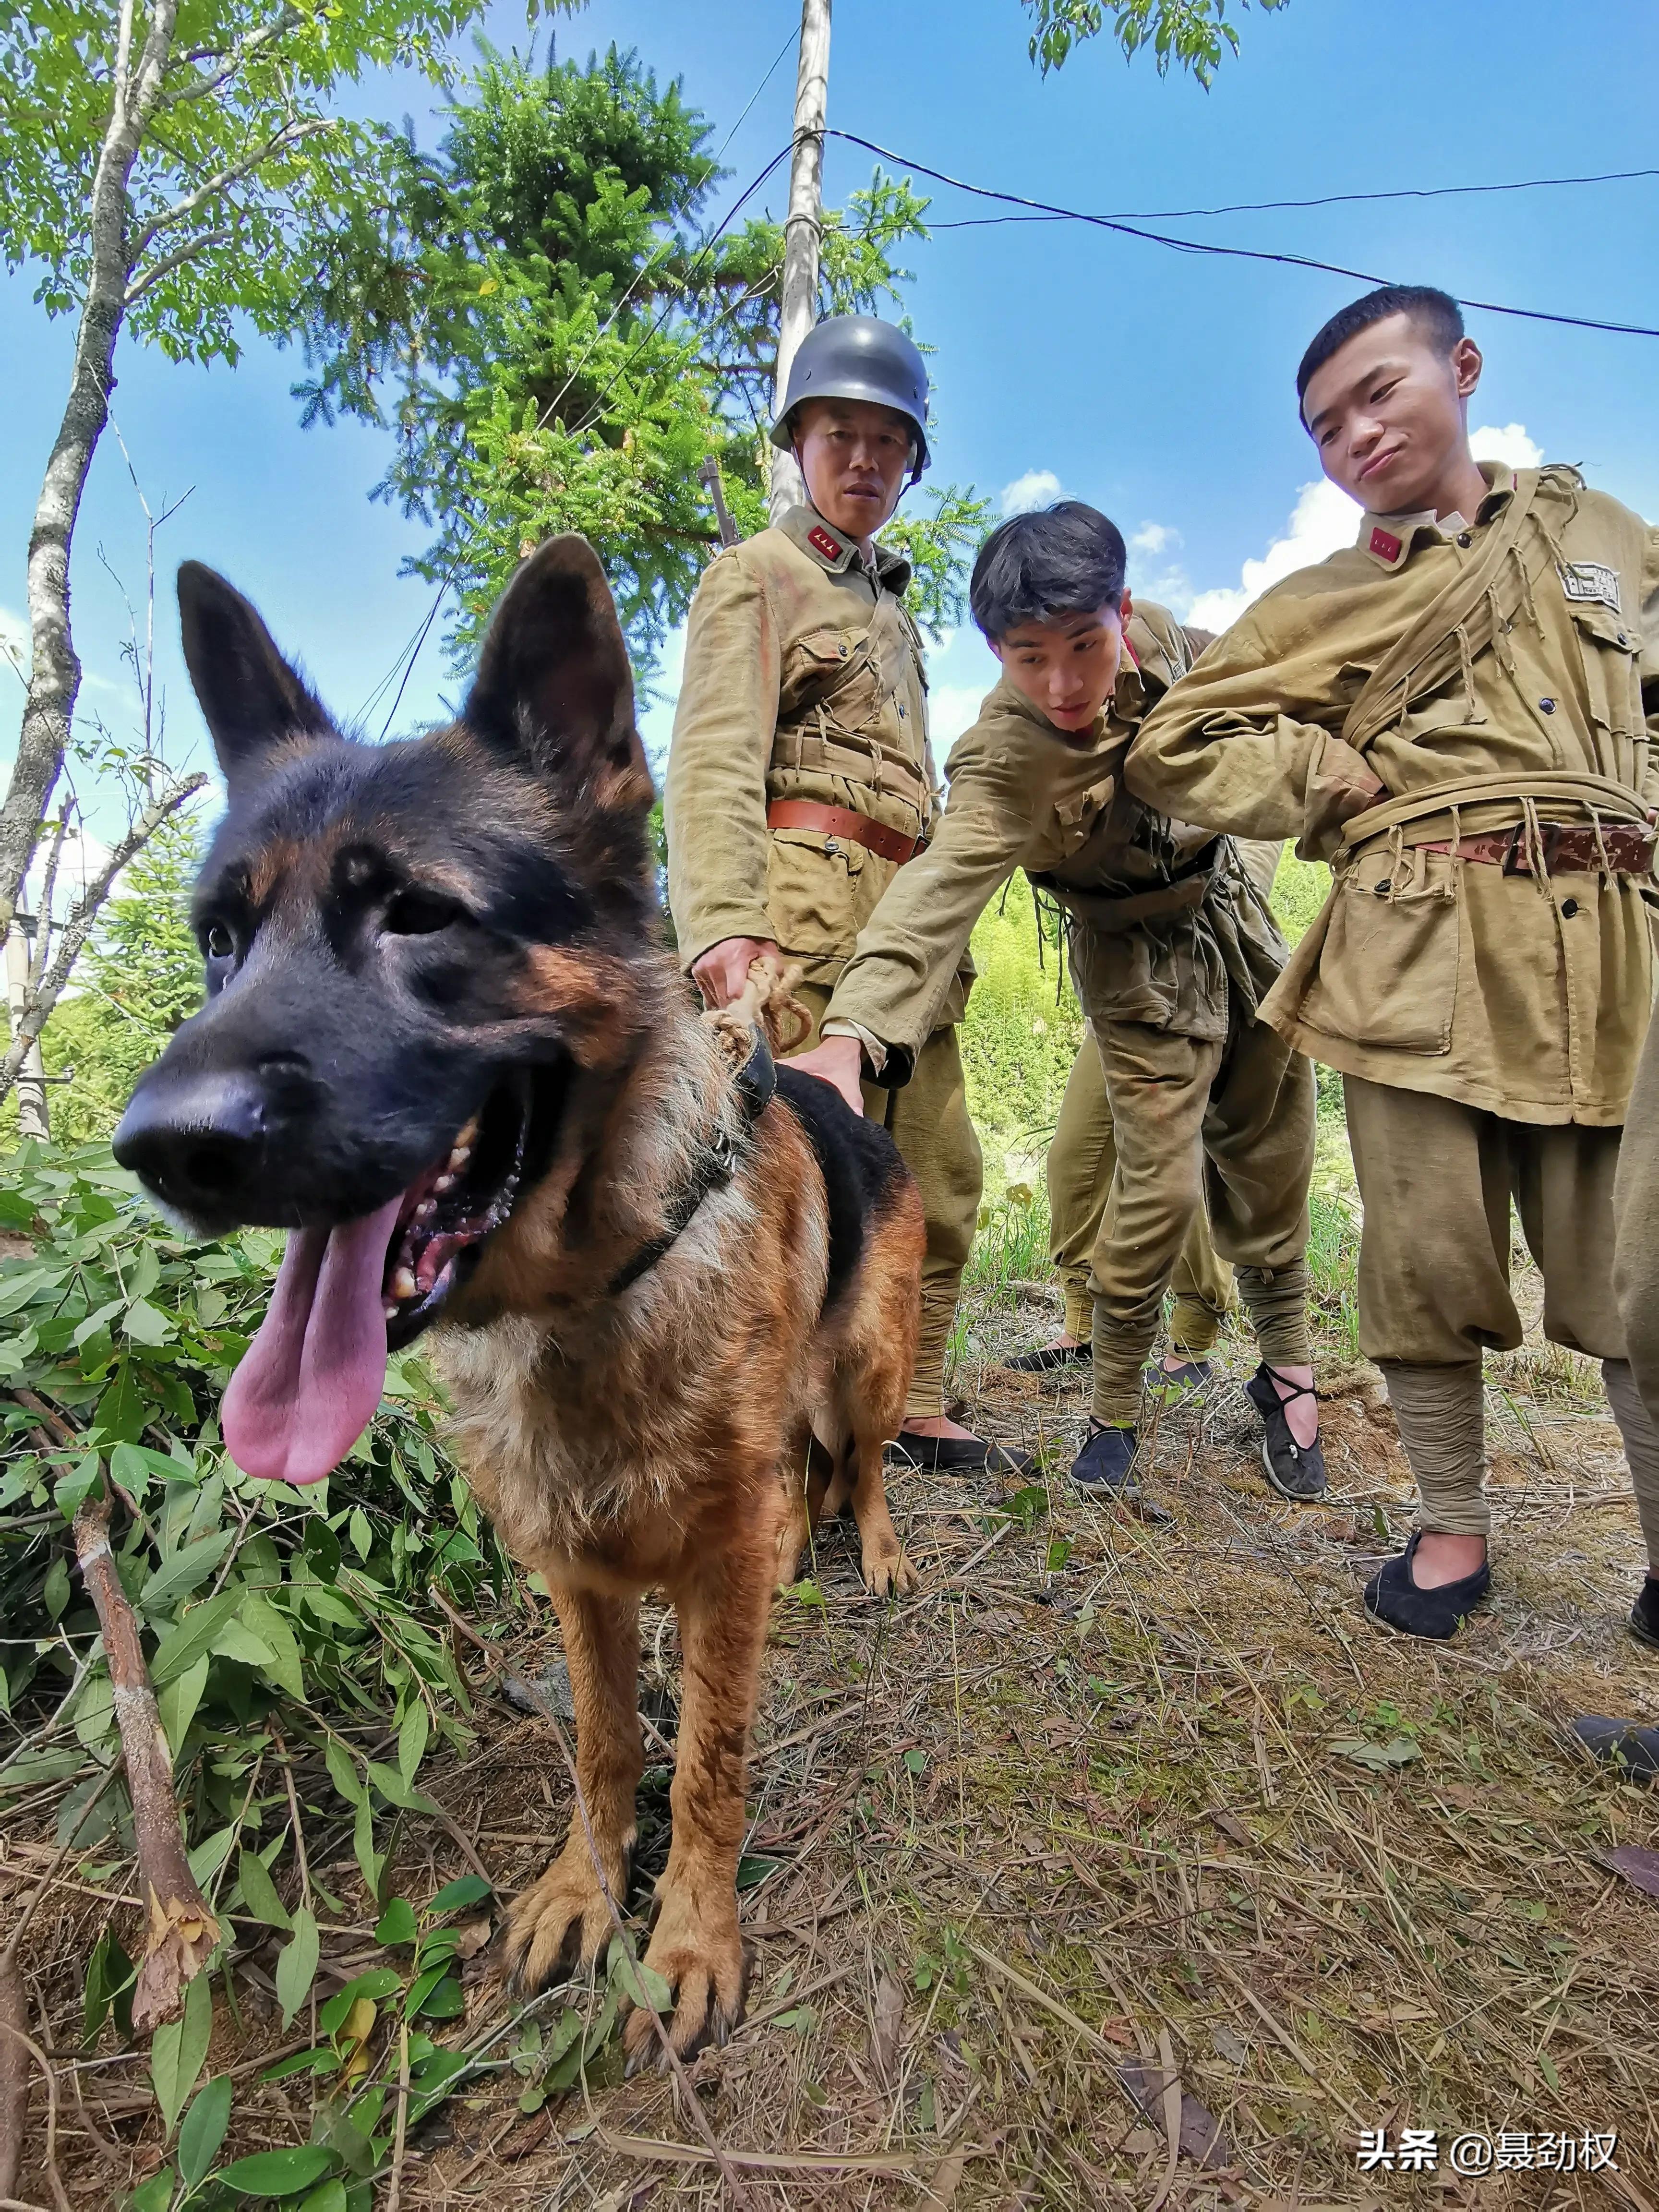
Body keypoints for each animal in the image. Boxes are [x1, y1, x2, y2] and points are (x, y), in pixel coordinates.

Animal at [114, 535, 925, 2053]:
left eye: (420, 914)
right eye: (216, 942)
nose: (161, 1146)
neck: (595, 1289)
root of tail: (840, 1094)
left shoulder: (710, 1584)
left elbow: (712, 1752)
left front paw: (689, 1934)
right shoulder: (581, 1582)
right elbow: (608, 1743)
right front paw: (584, 1891)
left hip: (874, 1367)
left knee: (865, 1460)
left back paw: (881, 1547)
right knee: (803, 1480)